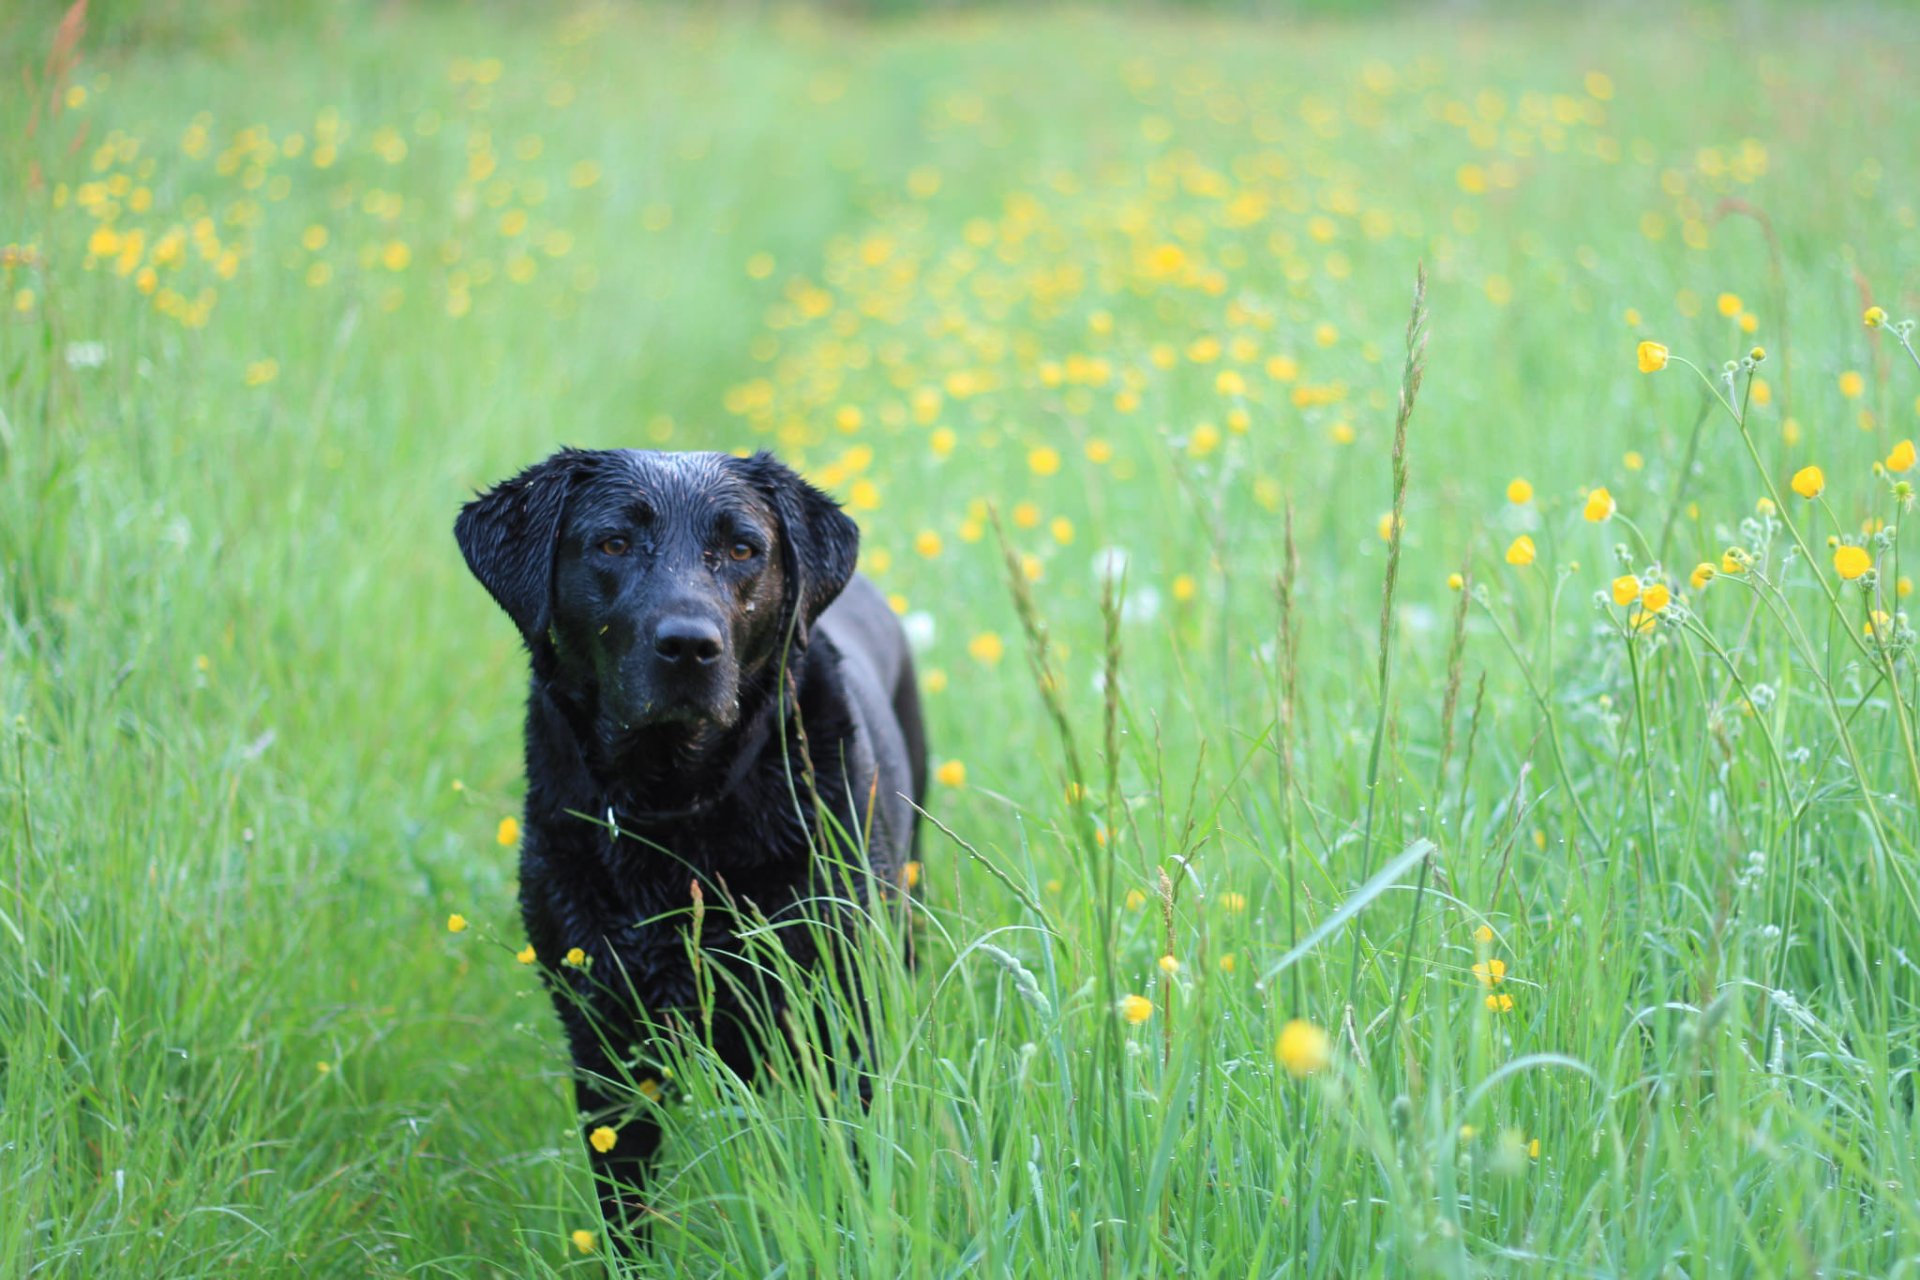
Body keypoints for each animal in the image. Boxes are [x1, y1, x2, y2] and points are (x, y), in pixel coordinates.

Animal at [456, 452, 921, 1243]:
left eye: (742, 549)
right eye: (613, 543)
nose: (689, 646)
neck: (675, 812)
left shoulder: (840, 1023)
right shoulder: (607, 1048)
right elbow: (626, 1222)